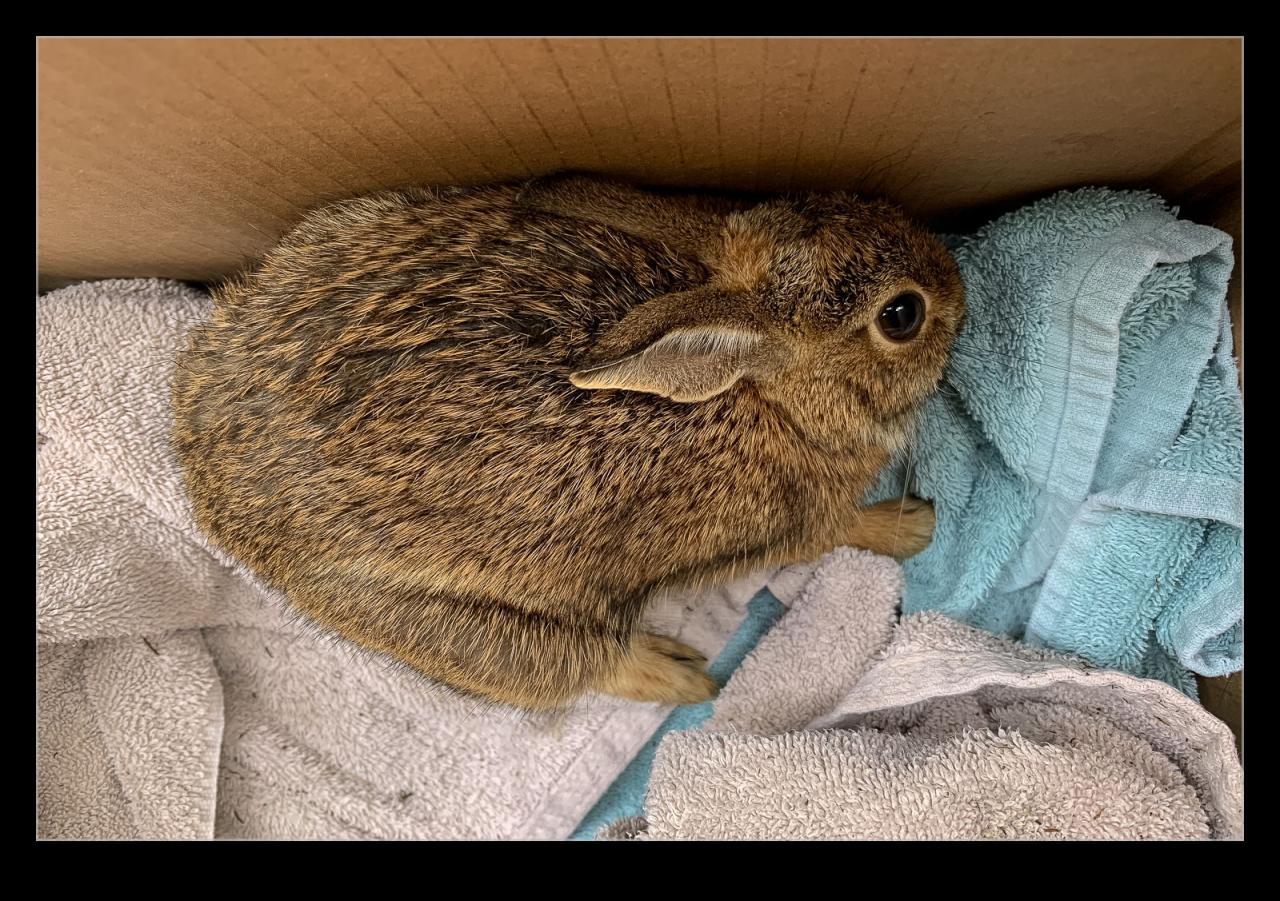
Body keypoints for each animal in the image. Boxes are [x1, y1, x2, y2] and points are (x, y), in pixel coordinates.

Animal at [171, 173, 965, 711]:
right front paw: (915, 526)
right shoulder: (787, 525)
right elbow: (843, 530)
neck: (768, 394)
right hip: (455, 624)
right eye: (901, 315)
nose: (958, 283)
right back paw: (683, 674)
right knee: (570, 666)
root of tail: (207, 479)